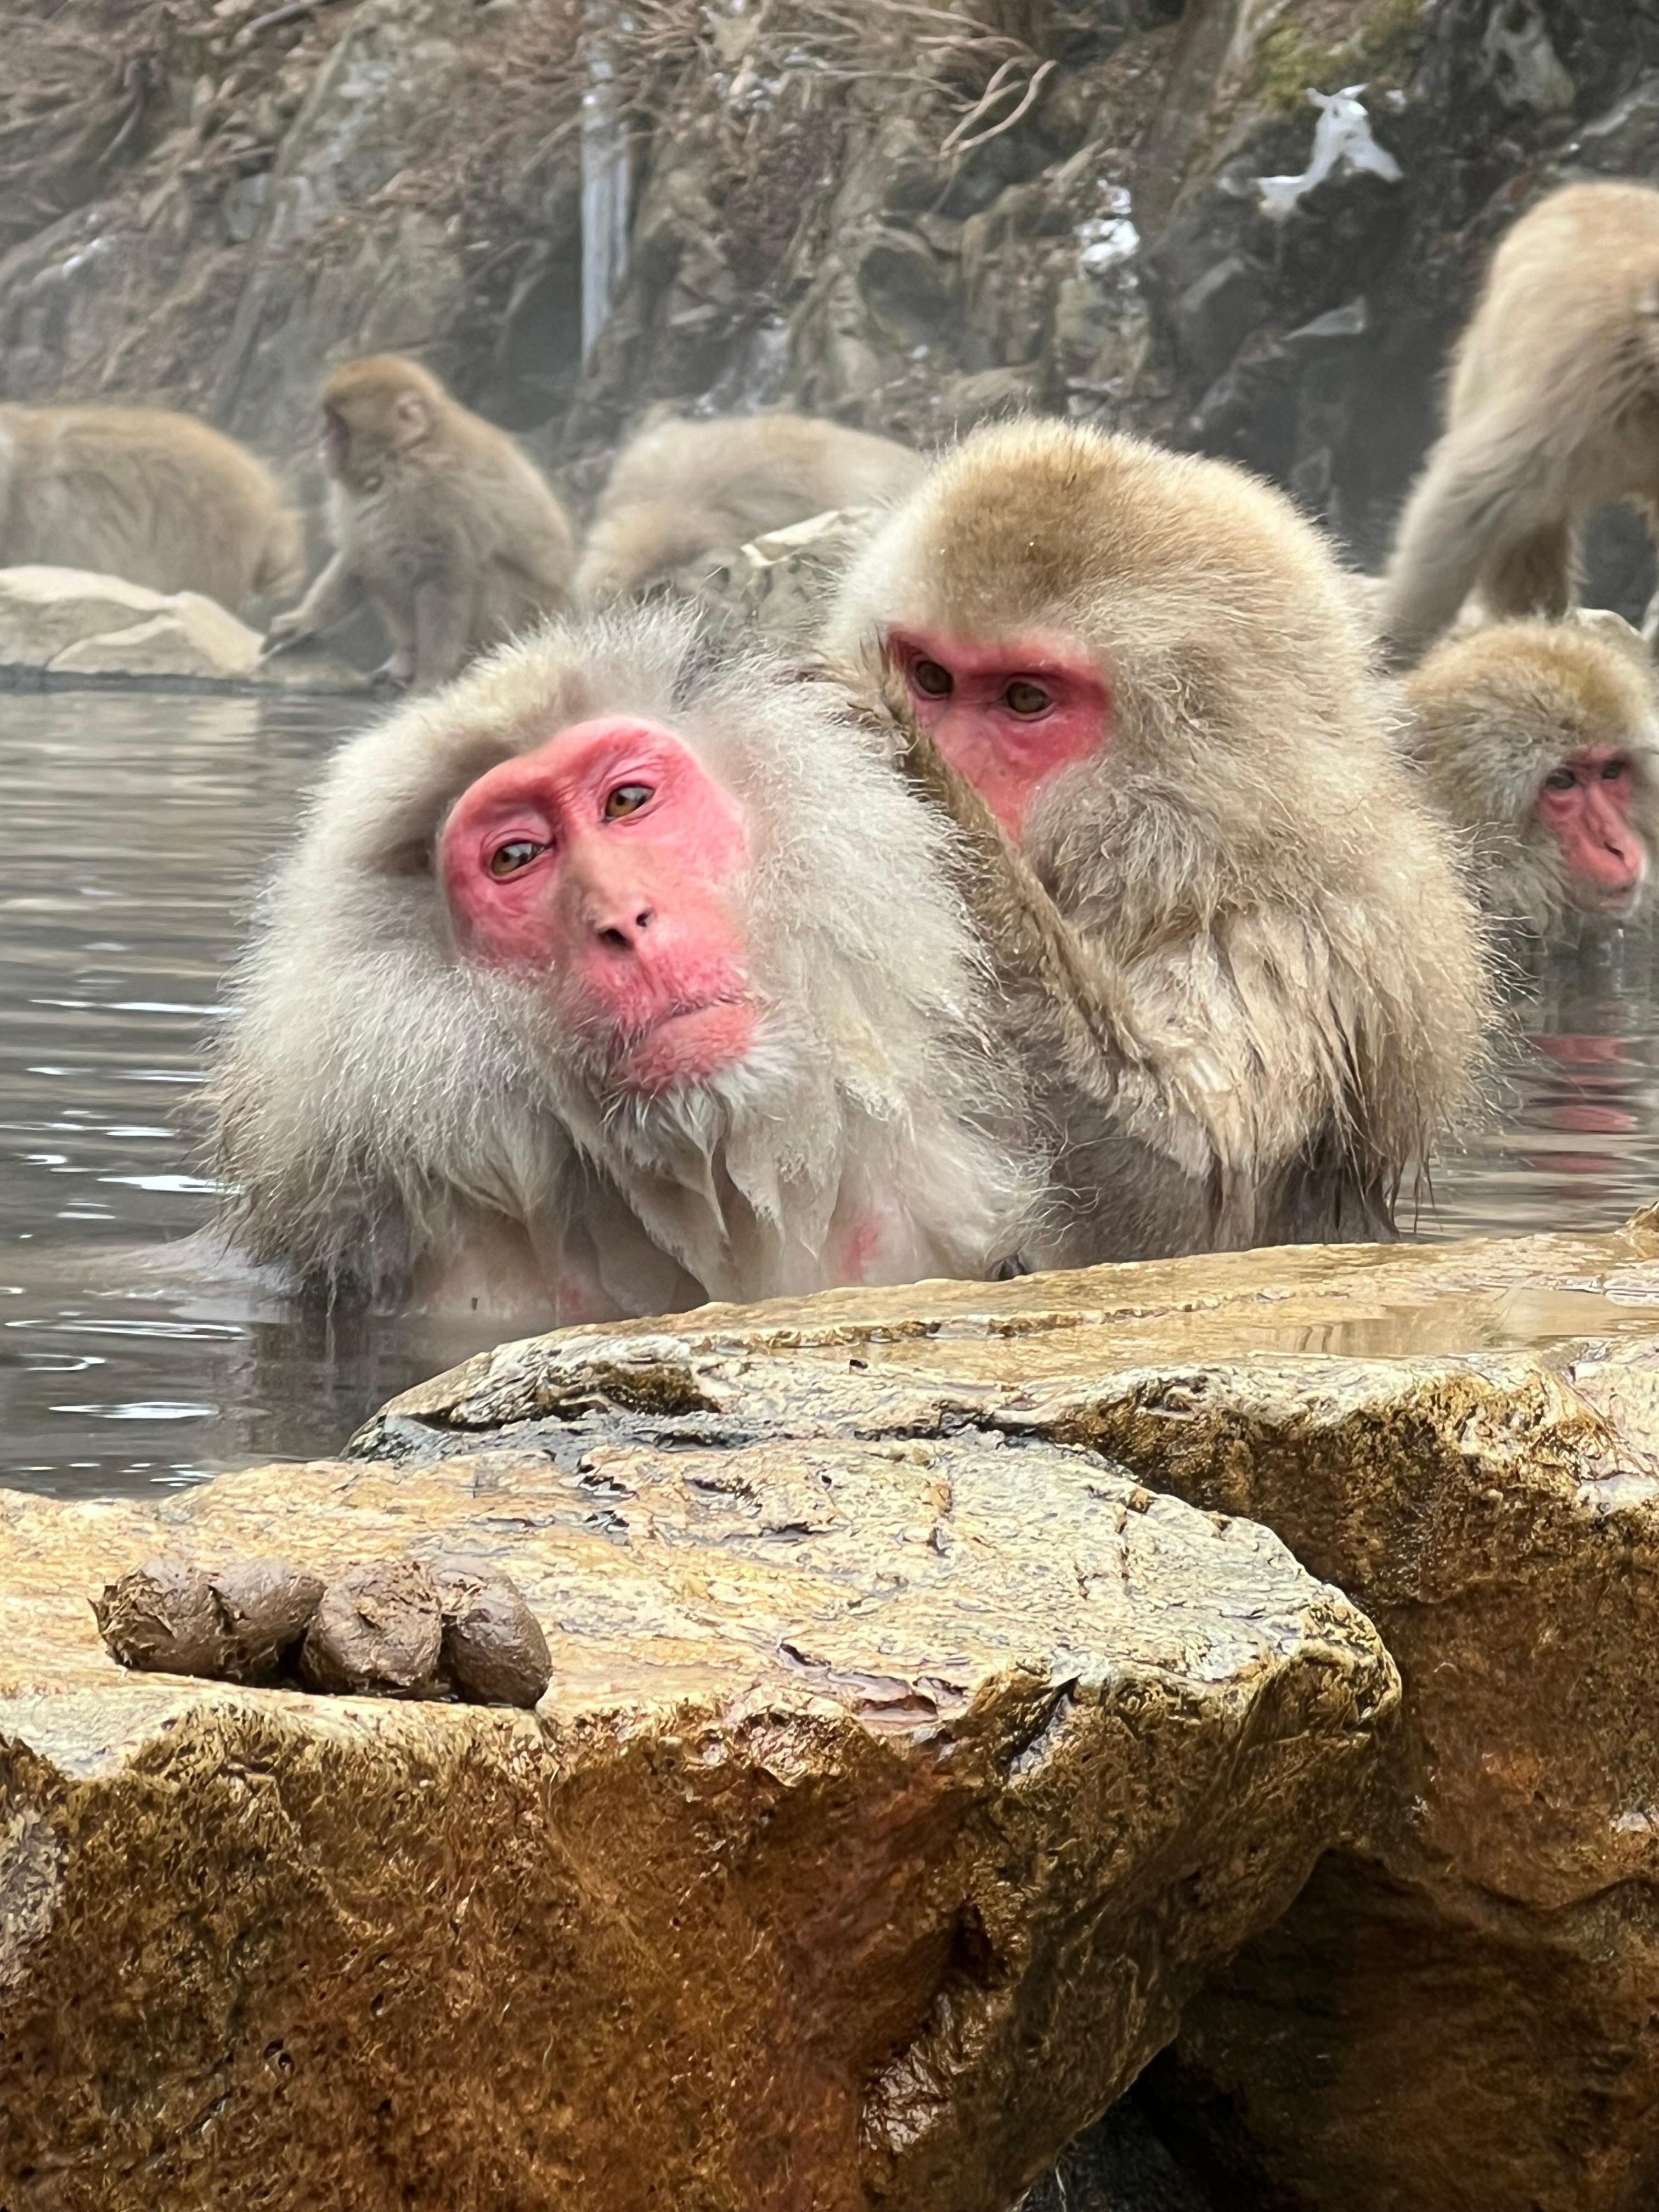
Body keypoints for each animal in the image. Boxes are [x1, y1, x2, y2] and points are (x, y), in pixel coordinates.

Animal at [266, 355, 577, 692]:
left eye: (340, 426)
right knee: (378, 556)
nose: (323, 444)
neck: (401, 455)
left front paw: (430, 680)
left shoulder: (437, 496)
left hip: (528, 617)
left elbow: (446, 576)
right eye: (329, 422)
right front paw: (303, 620)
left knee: (483, 572)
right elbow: (357, 551)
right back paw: (405, 659)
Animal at [821, 415, 1492, 1268]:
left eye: (1026, 699)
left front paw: (916, 778)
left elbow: (1184, 1194)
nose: (958, 760)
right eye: (933, 679)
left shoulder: (1292, 941)